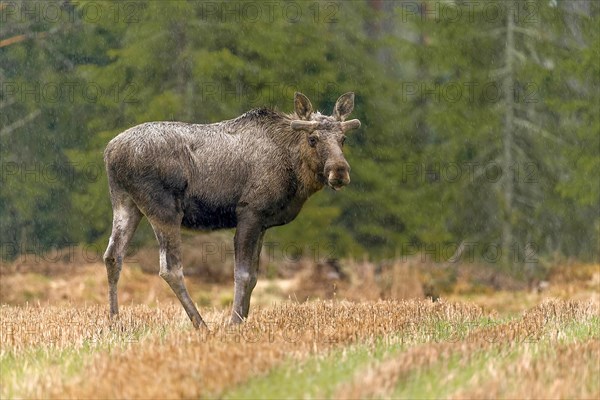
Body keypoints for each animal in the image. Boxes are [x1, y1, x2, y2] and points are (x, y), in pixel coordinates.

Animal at [103, 92, 360, 326]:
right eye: (312, 138)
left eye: (344, 138)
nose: (339, 171)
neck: (294, 172)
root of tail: (109, 152)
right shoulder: (250, 212)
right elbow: (243, 274)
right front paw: (234, 322)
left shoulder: (263, 223)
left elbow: (254, 276)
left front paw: (243, 319)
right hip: (164, 209)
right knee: (170, 268)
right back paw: (201, 324)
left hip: (126, 203)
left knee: (113, 256)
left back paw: (115, 321)